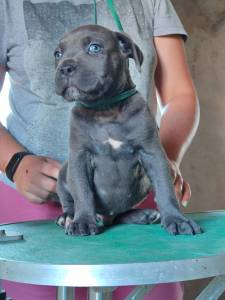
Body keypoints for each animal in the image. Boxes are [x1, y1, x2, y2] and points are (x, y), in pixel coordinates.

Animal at [54, 24, 202, 237]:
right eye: (57, 54)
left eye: (95, 48)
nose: (65, 67)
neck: (105, 110)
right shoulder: (79, 157)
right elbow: (82, 191)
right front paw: (82, 221)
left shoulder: (152, 153)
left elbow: (165, 188)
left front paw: (176, 219)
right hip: (64, 173)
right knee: (69, 199)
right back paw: (68, 216)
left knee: (119, 215)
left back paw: (143, 215)